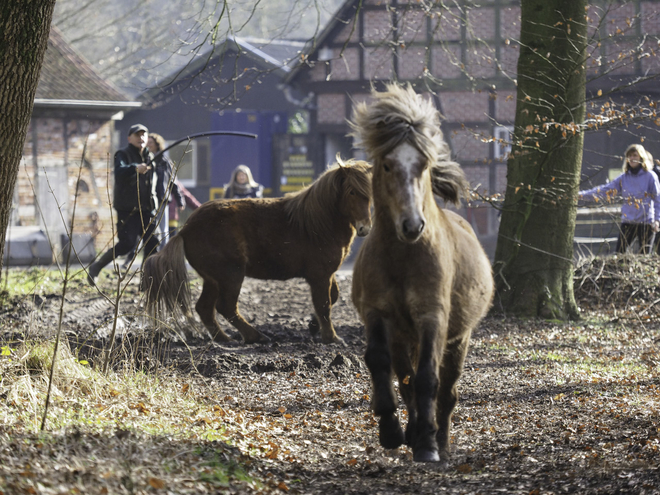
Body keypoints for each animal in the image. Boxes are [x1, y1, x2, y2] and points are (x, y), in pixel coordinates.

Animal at [142, 159, 372, 344]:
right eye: (351, 192)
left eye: (369, 194)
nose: (365, 228)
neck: (316, 223)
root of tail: (186, 229)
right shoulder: (320, 275)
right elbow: (324, 304)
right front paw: (332, 338)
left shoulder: (327, 274)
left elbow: (333, 297)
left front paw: (314, 325)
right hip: (231, 275)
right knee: (226, 307)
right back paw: (255, 336)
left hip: (213, 279)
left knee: (205, 309)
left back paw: (225, 338)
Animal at [348, 83, 492, 464]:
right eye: (386, 164)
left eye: (424, 164)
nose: (412, 225)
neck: (403, 257)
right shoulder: (378, 314)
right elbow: (381, 364)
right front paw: (391, 431)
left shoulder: (432, 315)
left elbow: (428, 377)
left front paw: (427, 444)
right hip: (403, 336)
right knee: (405, 378)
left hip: (458, 340)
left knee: (446, 391)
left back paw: (438, 439)